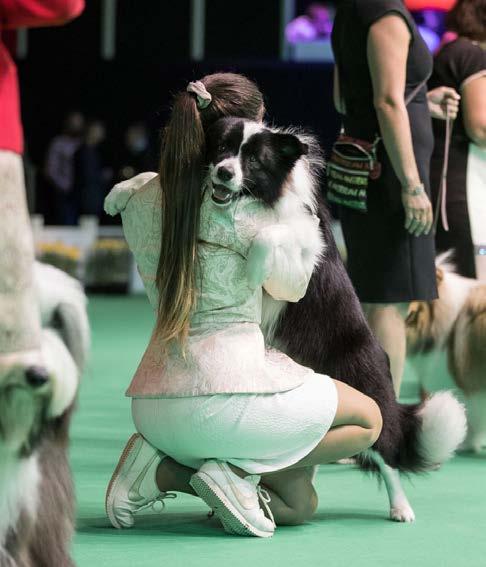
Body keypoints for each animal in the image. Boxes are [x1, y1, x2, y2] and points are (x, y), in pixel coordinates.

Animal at [205, 117, 468, 524]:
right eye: (222, 148)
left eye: (254, 159)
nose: (223, 172)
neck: (265, 198)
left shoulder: (302, 250)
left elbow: (271, 235)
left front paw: (253, 270)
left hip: (367, 395)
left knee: (387, 456)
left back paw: (401, 508)